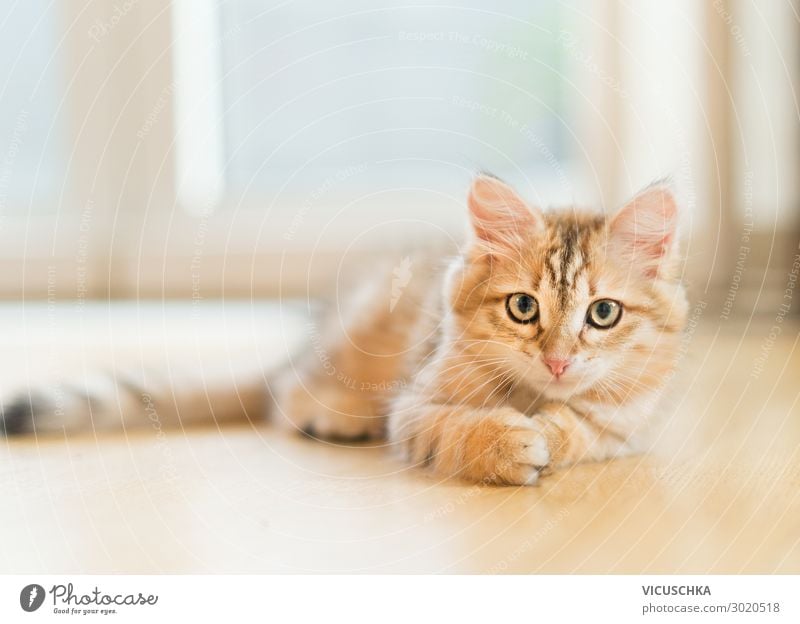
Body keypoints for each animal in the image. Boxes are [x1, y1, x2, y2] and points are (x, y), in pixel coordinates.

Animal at [0, 176, 688, 488]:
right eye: (524, 307)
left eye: (603, 314)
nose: (558, 361)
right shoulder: (412, 406)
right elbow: (458, 428)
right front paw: (510, 441)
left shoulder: (632, 423)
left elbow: (584, 428)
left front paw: (551, 430)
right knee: (284, 396)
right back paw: (333, 414)